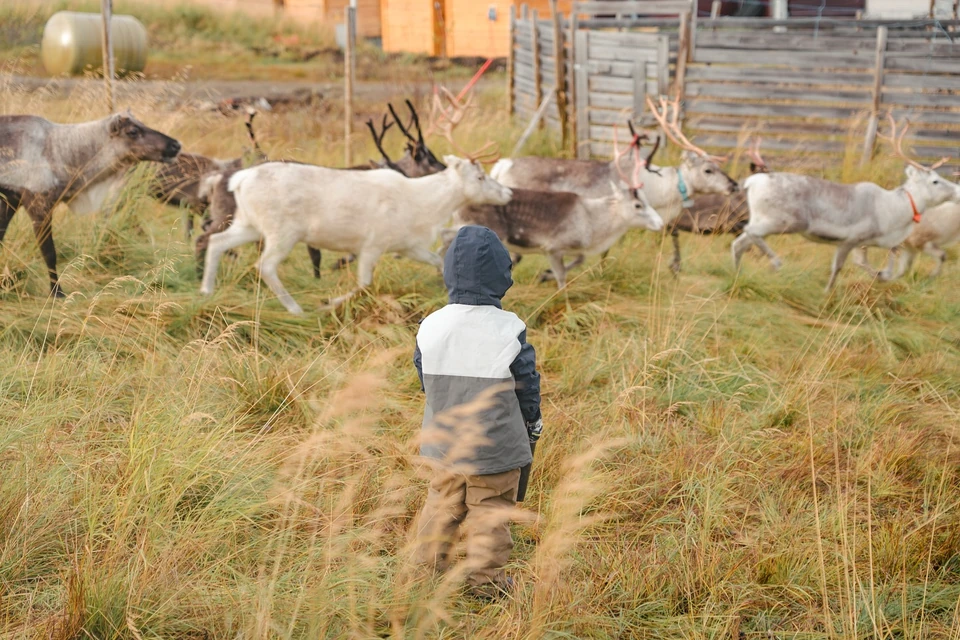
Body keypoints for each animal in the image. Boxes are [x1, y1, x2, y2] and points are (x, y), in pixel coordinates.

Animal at [0, 111, 181, 296]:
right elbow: (49, 252)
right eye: (132, 131)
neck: (65, 154)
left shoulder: (11, 200)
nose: (175, 145)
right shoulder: (39, 204)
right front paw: (57, 292)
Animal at [732, 116, 960, 291]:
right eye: (935, 181)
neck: (893, 211)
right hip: (784, 222)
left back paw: (737, 273)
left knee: (739, 243)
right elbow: (838, 268)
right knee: (749, 232)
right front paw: (827, 292)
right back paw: (775, 262)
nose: (958, 191)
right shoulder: (851, 239)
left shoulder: (870, 243)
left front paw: (883, 274)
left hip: (764, 219)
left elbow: (879, 261)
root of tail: (752, 182)